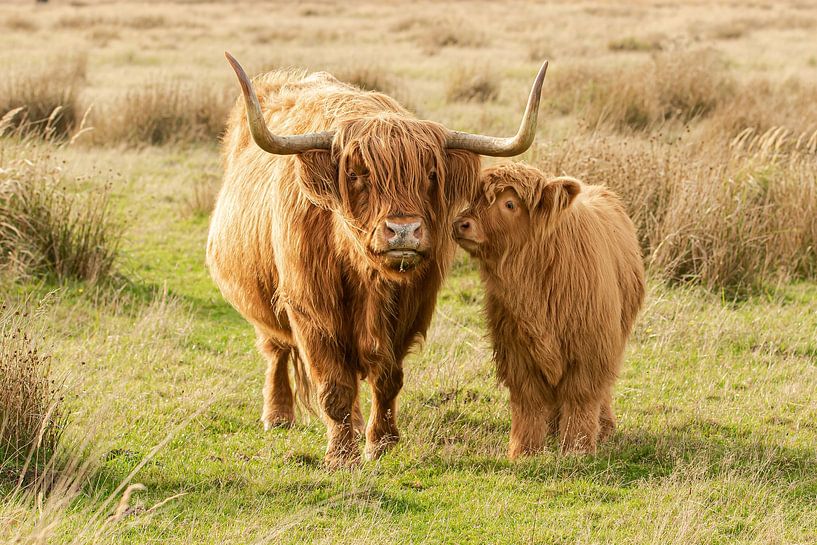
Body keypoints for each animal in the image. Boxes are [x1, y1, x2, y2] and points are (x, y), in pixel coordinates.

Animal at [207, 53, 548, 468]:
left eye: (430, 175)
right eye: (356, 174)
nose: (404, 232)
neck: (363, 275)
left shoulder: (409, 309)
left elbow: (386, 378)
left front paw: (380, 442)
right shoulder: (310, 309)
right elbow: (332, 384)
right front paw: (341, 457)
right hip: (262, 298)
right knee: (275, 350)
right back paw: (278, 416)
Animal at [453, 163, 645, 457]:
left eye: (510, 203)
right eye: (474, 198)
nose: (461, 224)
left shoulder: (590, 349)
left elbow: (581, 397)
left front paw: (578, 448)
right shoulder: (516, 350)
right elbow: (528, 402)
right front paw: (524, 451)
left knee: (602, 389)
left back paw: (603, 428)